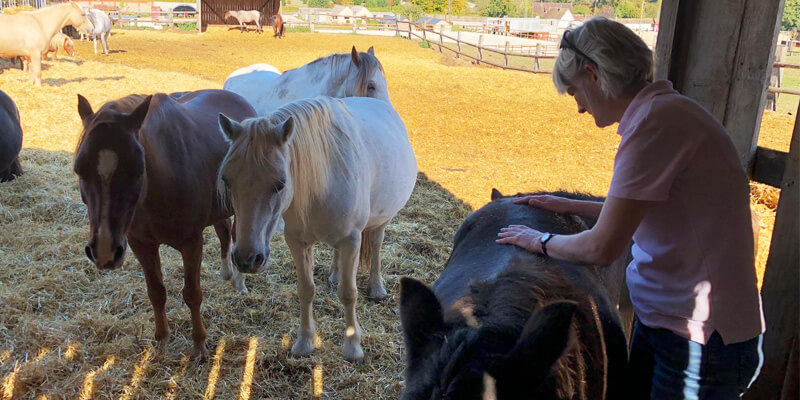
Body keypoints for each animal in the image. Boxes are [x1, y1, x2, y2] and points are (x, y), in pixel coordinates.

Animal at [74, 90, 256, 362]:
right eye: (79, 168)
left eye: (138, 168)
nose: (104, 251)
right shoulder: (141, 244)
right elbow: (156, 292)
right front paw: (162, 341)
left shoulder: (192, 243)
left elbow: (192, 294)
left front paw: (199, 346)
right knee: (223, 230)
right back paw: (226, 272)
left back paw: (239, 280)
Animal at [219, 96, 418, 360]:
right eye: (227, 180)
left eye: (280, 183)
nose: (246, 259)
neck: (324, 178)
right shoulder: (297, 242)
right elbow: (305, 290)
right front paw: (304, 343)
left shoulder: (351, 241)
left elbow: (348, 293)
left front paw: (353, 347)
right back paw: (334, 275)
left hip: (381, 221)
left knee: (376, 245)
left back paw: (376, 287)